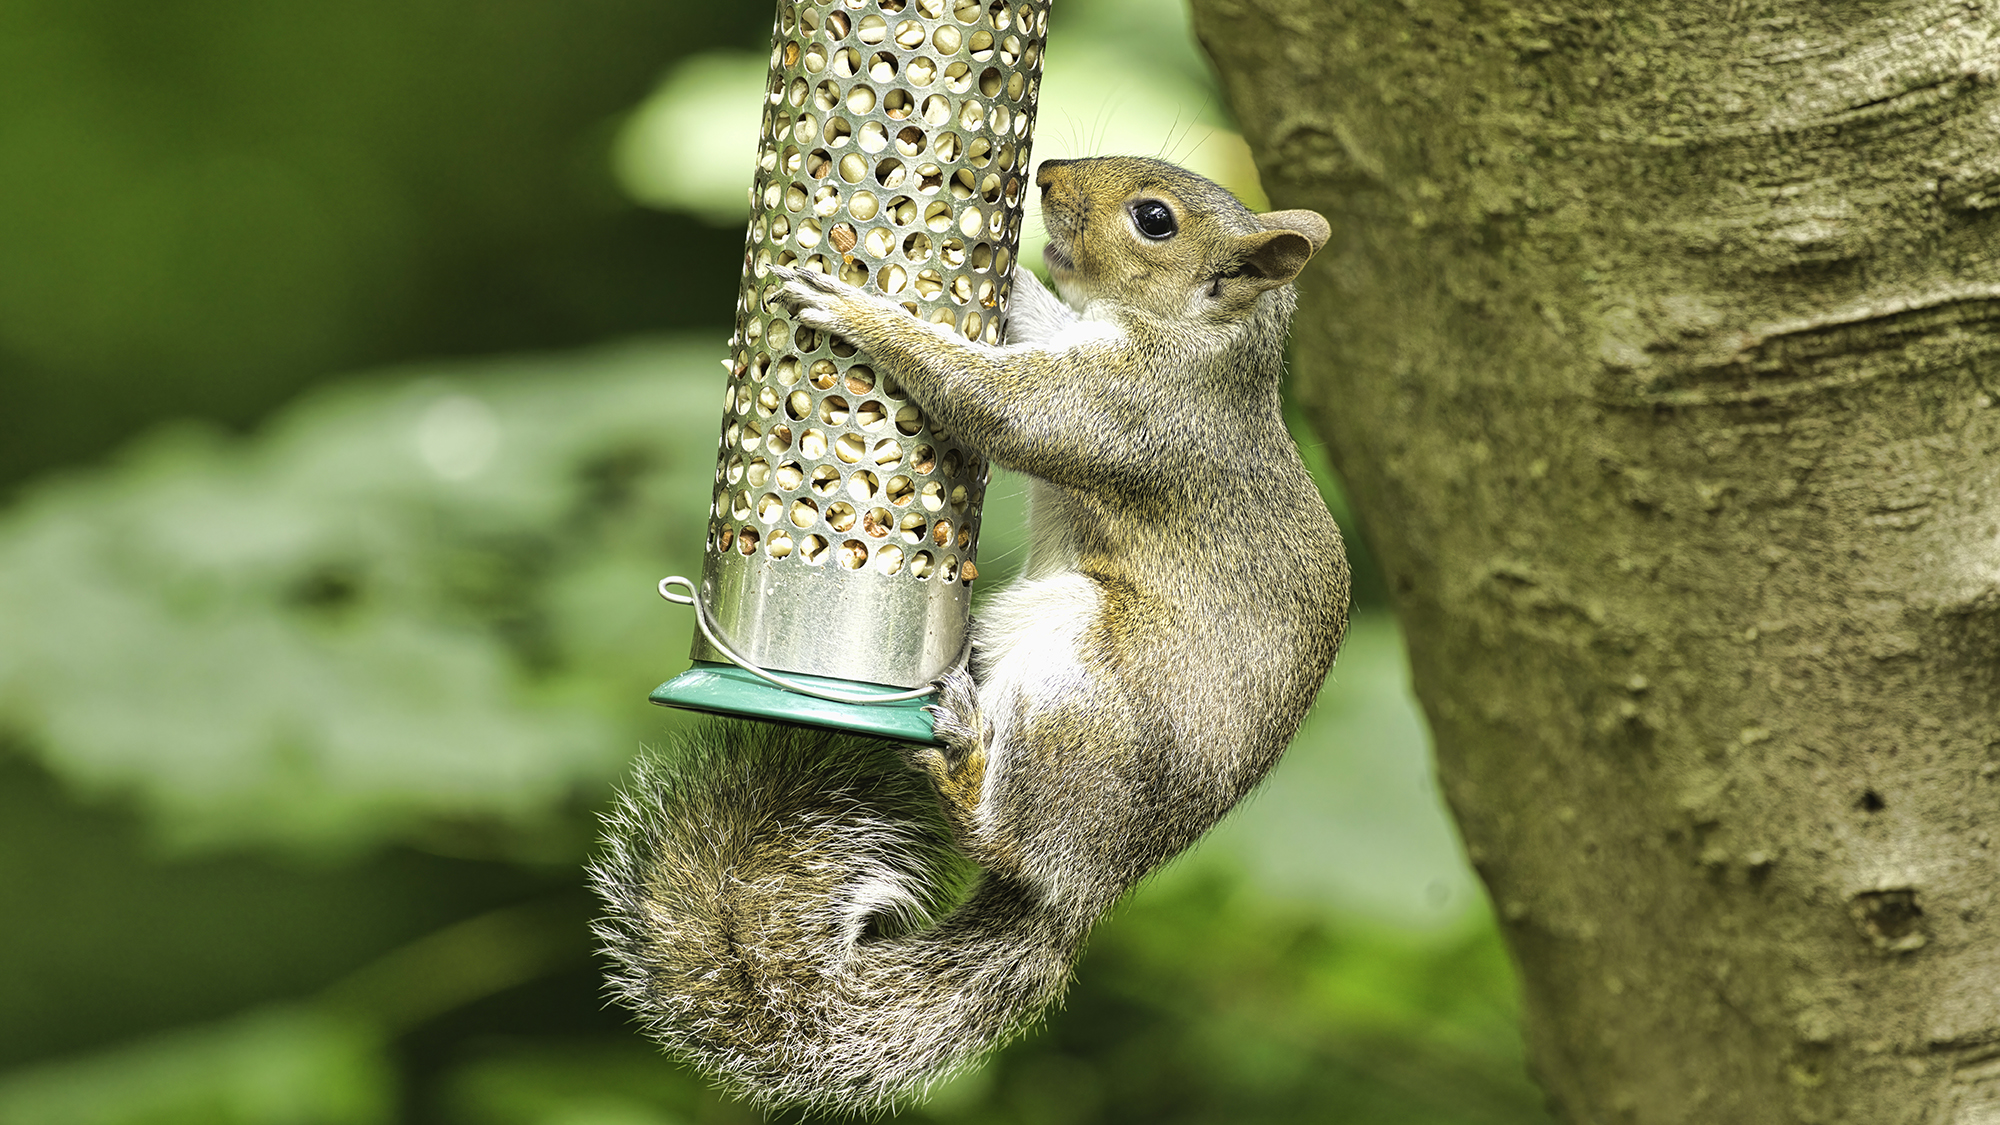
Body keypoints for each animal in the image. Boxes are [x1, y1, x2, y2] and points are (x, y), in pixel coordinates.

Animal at [591, 156, 1350, 1112]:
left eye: (1155, 220)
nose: (1049, 173)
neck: (1197, 342)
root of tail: (1084, 888)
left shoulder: (1123, 411)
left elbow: (994, 403)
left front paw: (859, 312)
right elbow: (1036, 316)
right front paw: (1001, 262)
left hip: (1078, 674)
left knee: (999, 829)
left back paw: (963, 756)